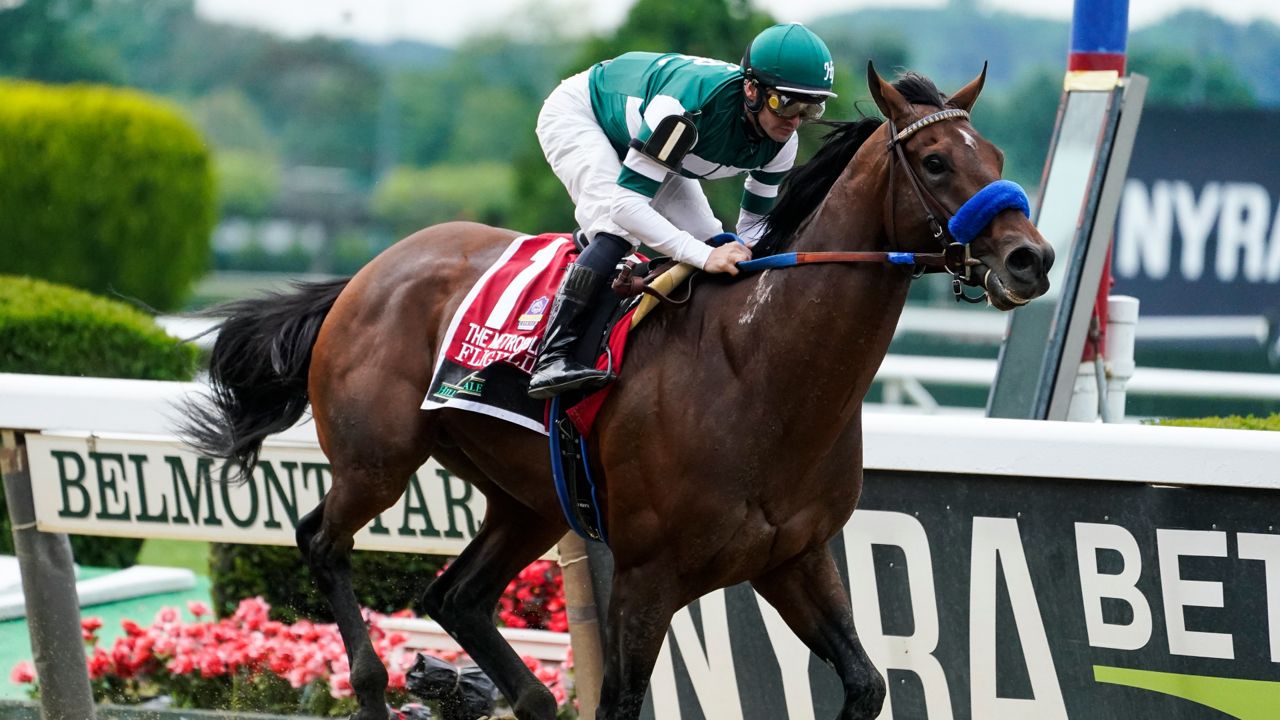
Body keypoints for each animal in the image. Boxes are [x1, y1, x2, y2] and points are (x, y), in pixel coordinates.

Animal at [185, 63, 1054, 717]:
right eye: (936, 161)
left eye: (996, 155)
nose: (1031, 259)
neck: (758, 369)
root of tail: (367, 274)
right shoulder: (647, 575)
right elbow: (623, 700)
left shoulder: (795, 557)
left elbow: (867, 683)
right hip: (378, 461)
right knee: (320, 540)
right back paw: (370, 686)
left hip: (529, 500)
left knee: (456, 597)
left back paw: (530, 697)